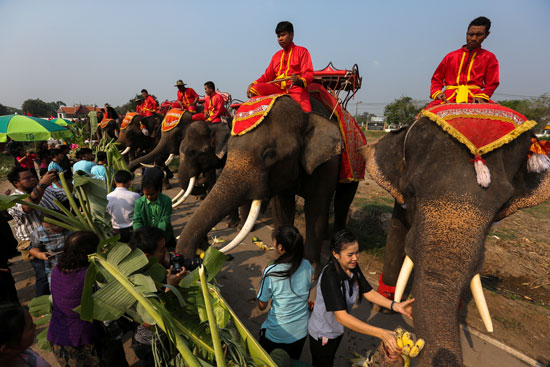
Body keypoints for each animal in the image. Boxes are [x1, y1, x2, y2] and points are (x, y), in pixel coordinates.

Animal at [175, 95, 360, 268]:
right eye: (230, 146)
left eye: (269, 154)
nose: (204, 246)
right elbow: (282, 205)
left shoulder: (327, 163)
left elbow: (316, 208)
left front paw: (312, 271)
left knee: (343, 200)